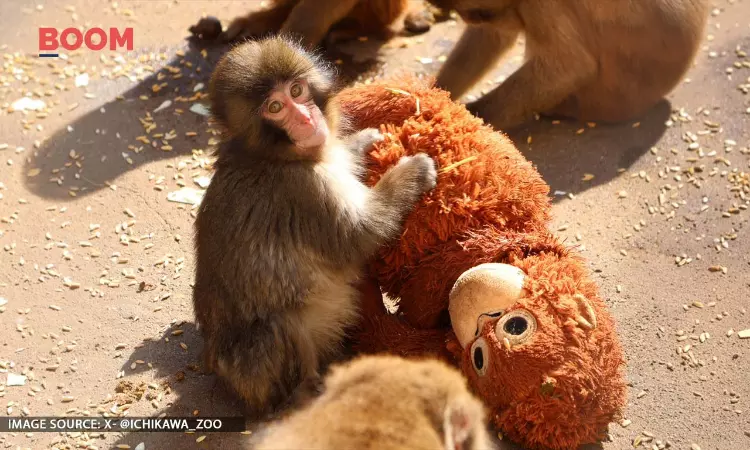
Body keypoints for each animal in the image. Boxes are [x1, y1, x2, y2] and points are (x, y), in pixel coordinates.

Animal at [193, 36, 438, 418]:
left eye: (297, 90)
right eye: (275, 107)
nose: (307, 118)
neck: (274, 156)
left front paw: (361, 142)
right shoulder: (304, 191)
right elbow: (360, 235)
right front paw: (411, 173)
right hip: (255, 373)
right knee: (279, 326)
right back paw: (305, 394)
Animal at [427, 0, 711, 130]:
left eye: (477, 13)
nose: (470, 18)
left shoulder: (539, 3)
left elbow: (571, 68)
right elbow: (492, 37)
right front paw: (433, 95)